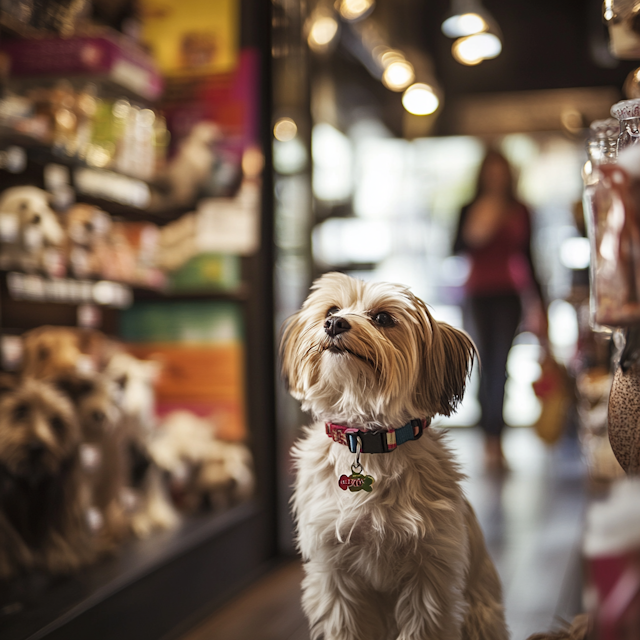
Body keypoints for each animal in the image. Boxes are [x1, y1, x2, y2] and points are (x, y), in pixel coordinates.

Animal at [0, 376, 95, 580]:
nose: (36, 447)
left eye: (56, 422)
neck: (30, 481)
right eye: (20, 411)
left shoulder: (62, 494)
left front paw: (62, 557)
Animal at [282, 272, 508, 640]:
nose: (334, 323)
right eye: (331, 310)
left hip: (479, 617)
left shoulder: (430, 578)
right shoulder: (334, 574)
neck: (367, 440)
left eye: (383, 318)